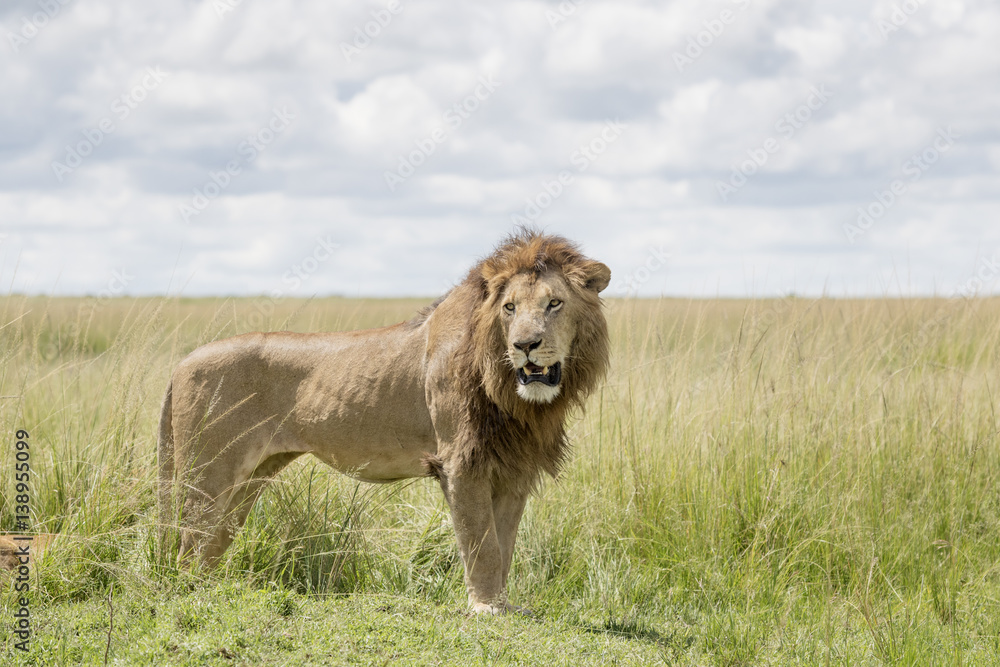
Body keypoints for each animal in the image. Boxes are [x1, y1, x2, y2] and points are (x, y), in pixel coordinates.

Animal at [158, 229, 610, 614]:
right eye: (509, 308)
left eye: (554, 303)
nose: (524, 345)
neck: (513, 396)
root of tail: (180, 364)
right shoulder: (461, 462)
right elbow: (483, 543)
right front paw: (485, 609)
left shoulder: (514, 467)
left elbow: (504, 543)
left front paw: (502, 605)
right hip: (208, 474)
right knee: (188, 545)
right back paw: (192, 594)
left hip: (249, 479)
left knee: (209, 545)